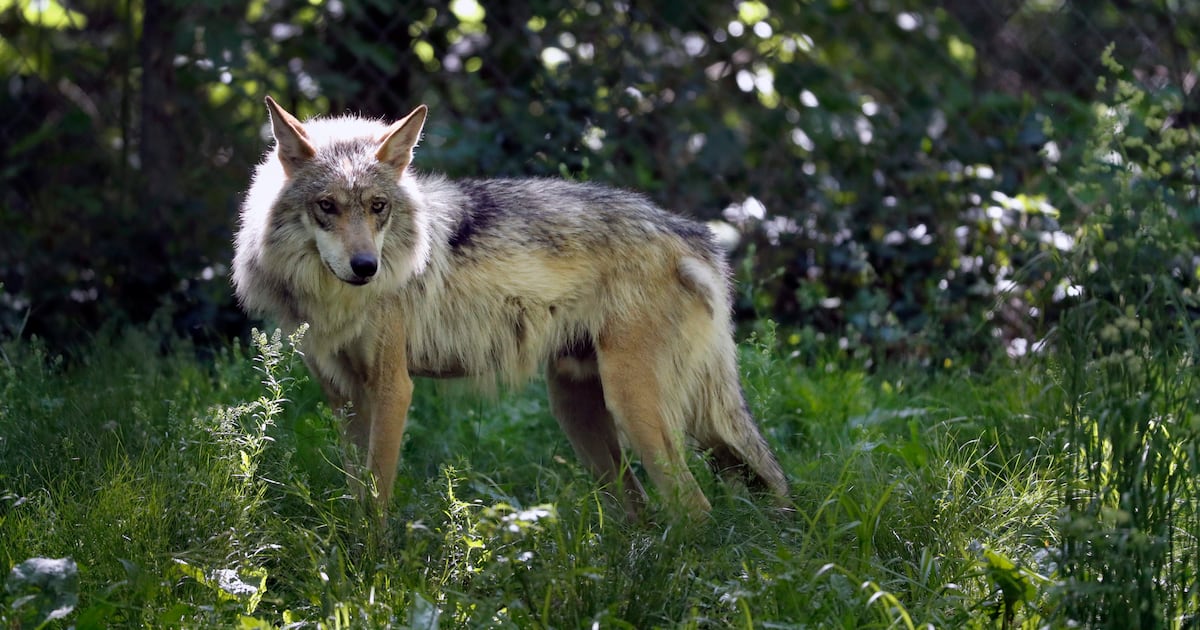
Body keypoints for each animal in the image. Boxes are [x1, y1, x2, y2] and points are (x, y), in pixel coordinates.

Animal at [231, 96, 788, 518]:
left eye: (377, 207)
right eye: (327, 206)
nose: (366, 266)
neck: (337, 301)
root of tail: (693, 234)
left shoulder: (393, 390)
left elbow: (378, 502)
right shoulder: (344, 398)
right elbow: (356, 500)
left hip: (637, 410)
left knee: (695, 509)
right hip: (580, 414)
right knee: (642, 511)